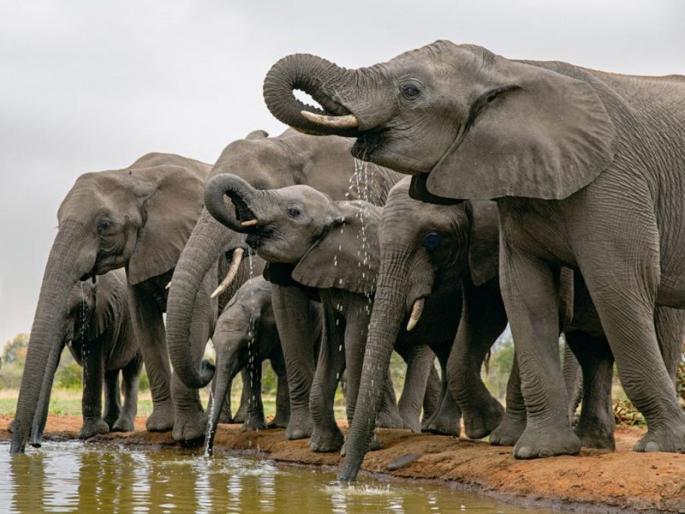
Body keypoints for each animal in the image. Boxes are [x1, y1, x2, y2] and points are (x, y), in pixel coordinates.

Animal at [27, 269, 141, 445]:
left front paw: (91, 433)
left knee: (131, 373)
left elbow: (93, 361)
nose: (36, 442)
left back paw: (121, 428)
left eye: (80, 307)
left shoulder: (103, 313)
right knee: (109, 374)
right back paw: (110, 424)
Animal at [204, 174, 480, 452]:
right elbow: (334, 342)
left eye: (293, 212)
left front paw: (364, 446)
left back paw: (420, 428)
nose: (207, 449)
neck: (335, 210)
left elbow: (355, 341)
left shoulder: (363, 279)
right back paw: (435, 427)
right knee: (441, 351)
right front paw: (322, 445)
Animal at [262, 41, 685, 457]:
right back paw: (594, 443)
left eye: (410, 90)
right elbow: (521, 297)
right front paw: (534, 448)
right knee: (589, 345)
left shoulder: (614, 181)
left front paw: (659, 447)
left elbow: (617, 284)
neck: (512, 66)